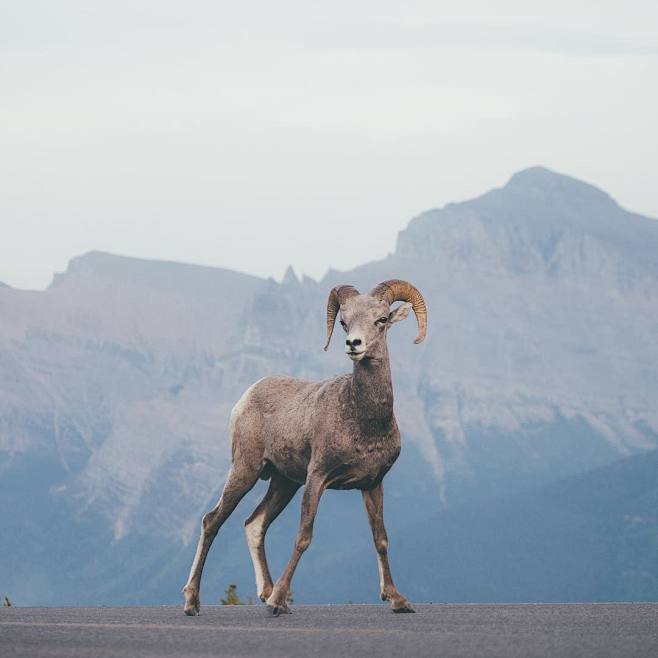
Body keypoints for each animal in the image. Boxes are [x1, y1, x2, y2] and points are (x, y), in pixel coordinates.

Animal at [181, 278, 426, 616]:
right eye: (344, 322)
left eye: (381, 320)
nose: (354, 344)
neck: (361, 418)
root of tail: (246, 396)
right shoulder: (317, 478)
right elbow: (303, 537)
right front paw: (279, 599)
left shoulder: (373, 484)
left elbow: (381, 539)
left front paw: (398, 600)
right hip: (246, 470)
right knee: (211, 521)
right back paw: (193, 602)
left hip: (283, 483)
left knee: (254, 524)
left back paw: (265, 592)